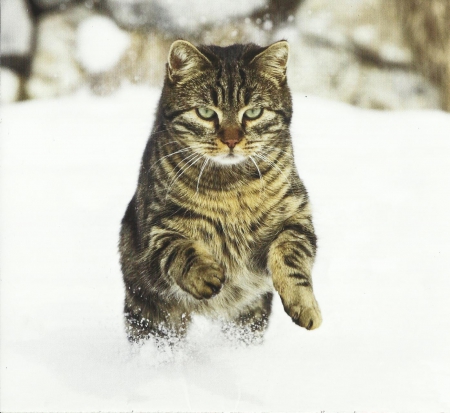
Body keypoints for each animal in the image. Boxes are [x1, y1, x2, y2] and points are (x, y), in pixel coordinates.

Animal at [120, 38, 324, 342]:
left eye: (253, 112)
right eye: (205, 112)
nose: (231, 140)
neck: (232, 187)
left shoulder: (295, 215)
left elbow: (290, 256)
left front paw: (304, 304)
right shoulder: (160, 227)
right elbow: (182, 249)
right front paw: (205, 273)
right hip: (149, 314)